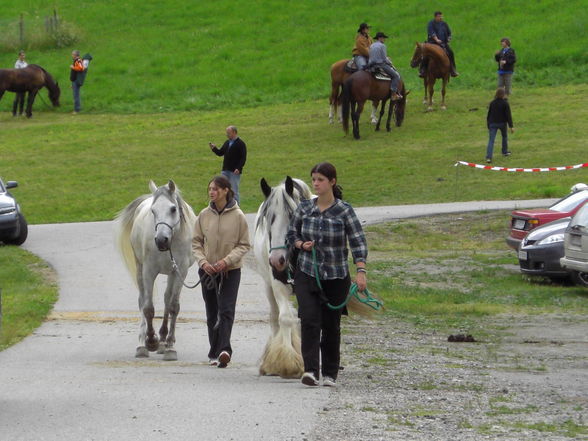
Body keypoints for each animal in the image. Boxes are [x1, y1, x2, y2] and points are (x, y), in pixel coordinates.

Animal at [113, 180, 196, 360]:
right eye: (153, 211)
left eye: (173, 209)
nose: (161, 240)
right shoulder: (149, 272)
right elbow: (148, 308)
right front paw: (150, 340)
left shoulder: (180, 271)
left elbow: (173, 306)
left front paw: (170, 345)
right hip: (139, 269)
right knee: (142, 300)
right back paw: (142, 344)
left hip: (171, 273)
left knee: (166, 300)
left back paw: (163, 341)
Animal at [255, 176, 314, 378]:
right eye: (267, 216)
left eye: (291, 215)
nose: (277, 259)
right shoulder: (278, 285)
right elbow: (285, 319)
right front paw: (288, 362)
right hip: (267, 286)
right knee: (275, 318)